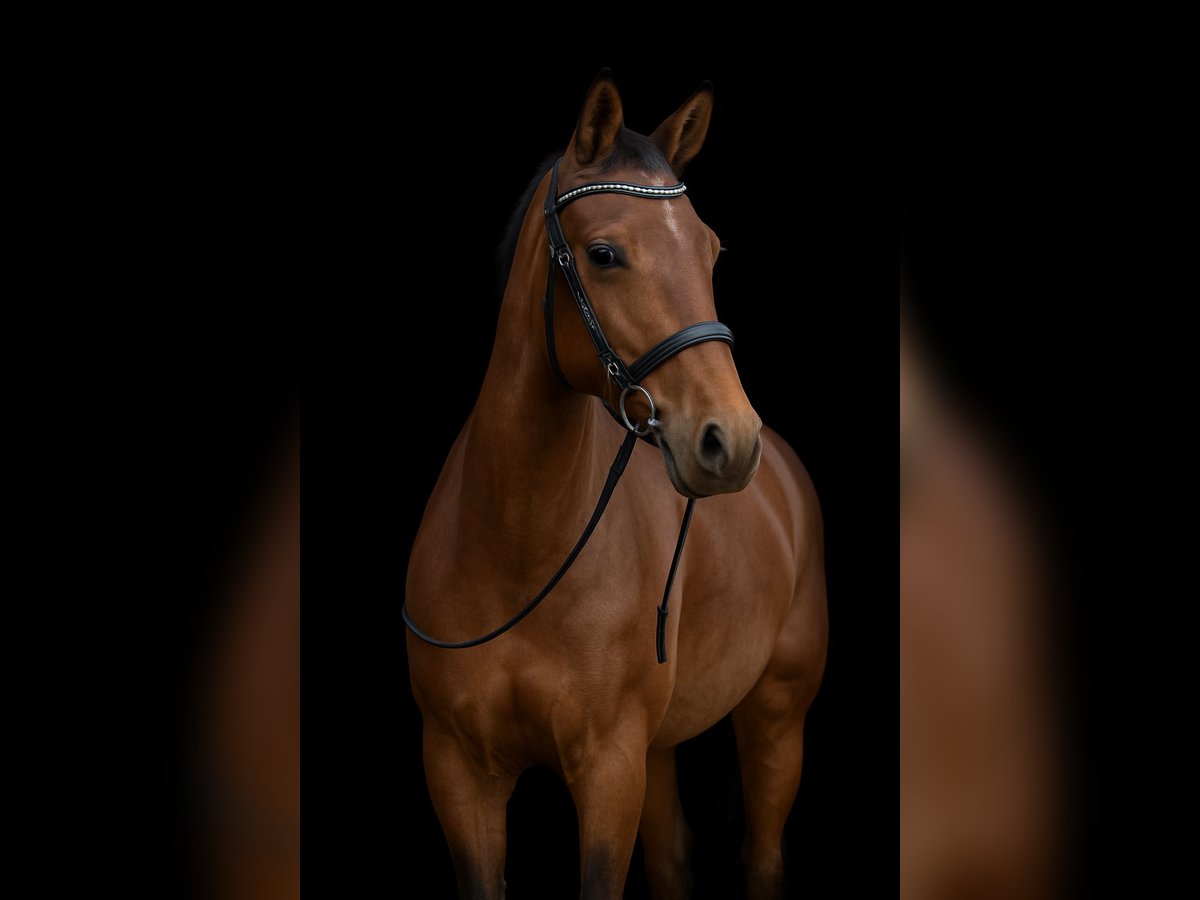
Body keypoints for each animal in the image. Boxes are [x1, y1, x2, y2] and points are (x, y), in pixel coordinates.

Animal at [404, 72, 828, 899]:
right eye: (604, 254)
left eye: (710, 249)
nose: (731, 439)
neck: (517, 550)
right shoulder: (459, 773)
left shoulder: (608, 770)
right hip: (659, 750)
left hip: (775, 717)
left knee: (763, 854)